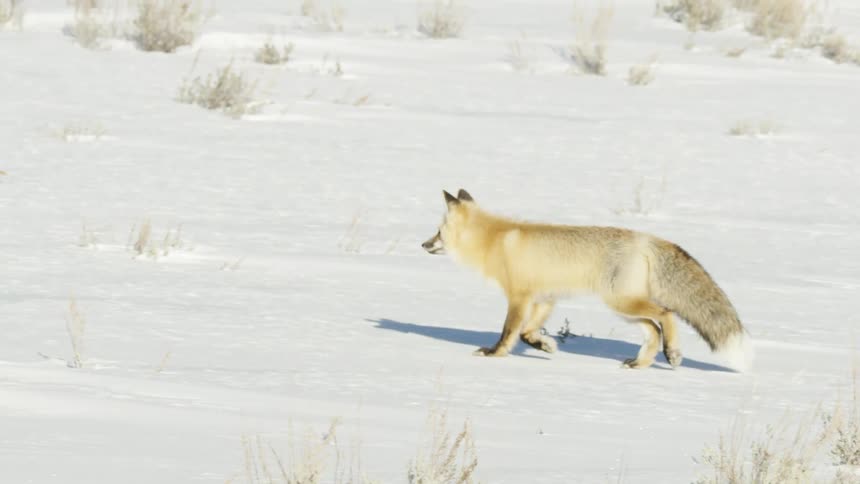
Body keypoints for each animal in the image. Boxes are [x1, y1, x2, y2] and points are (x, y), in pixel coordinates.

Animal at [422, 189, 753, 371]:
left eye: (438, 232)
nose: (423, 244)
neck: (495, 239)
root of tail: (648, 239)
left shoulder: (519, 297)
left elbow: (508, 332)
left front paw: (494, 353)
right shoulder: (544, 298)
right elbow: (528, 333)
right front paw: (544, 346)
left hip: (622, 302)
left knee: (666, 315)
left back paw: (671, 353)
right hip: (625, 309)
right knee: (654, 330)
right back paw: (640, 364)